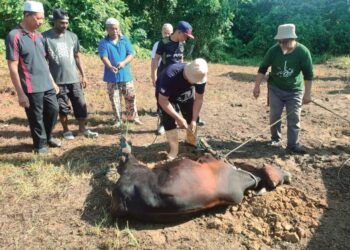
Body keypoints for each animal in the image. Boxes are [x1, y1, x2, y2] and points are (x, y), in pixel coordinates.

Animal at [111, 138, 290, 222]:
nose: (287, 175)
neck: (242, 180)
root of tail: (125, 201)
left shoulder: (208, 159)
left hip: (133, 167)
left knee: (125, 157)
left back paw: (124, 144)